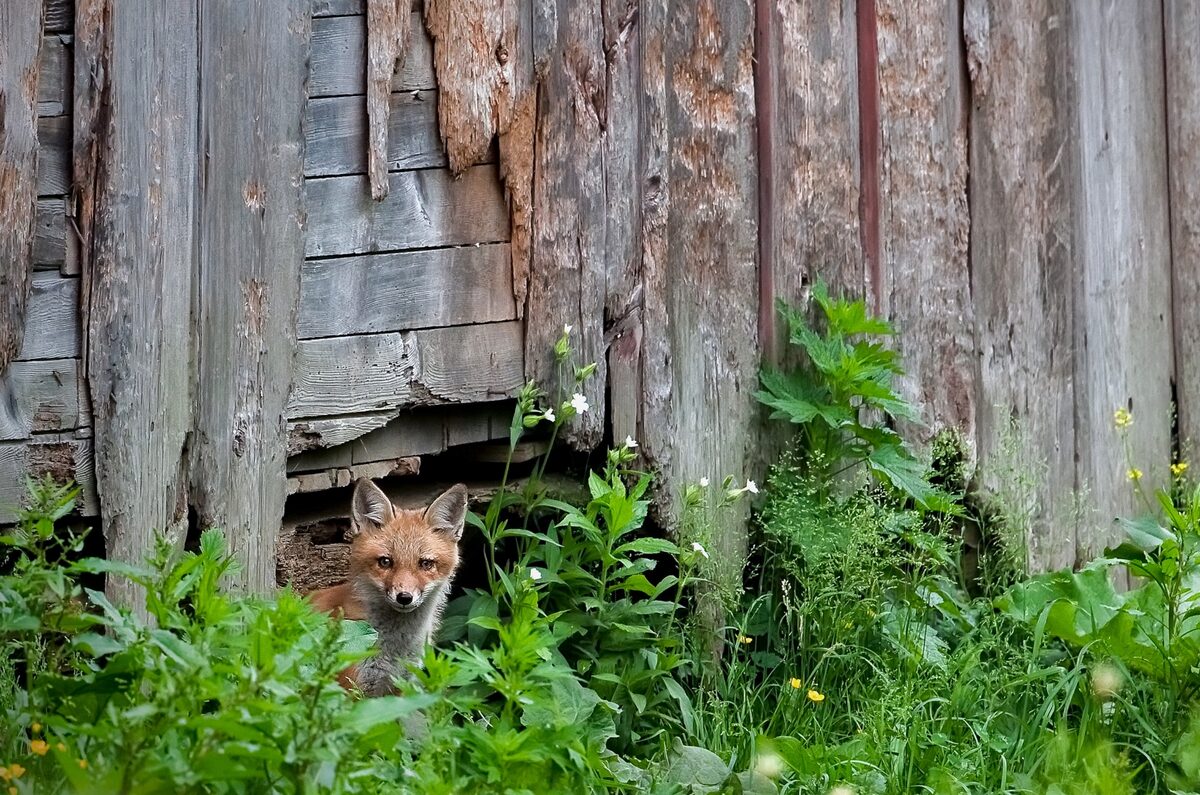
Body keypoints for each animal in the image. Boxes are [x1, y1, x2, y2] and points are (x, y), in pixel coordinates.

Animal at [309, 478, 468, 696]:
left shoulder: (402, 685)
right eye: (385, 562)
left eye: (425, 564)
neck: (395, 650)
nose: (404, 597)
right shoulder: (347, 688)